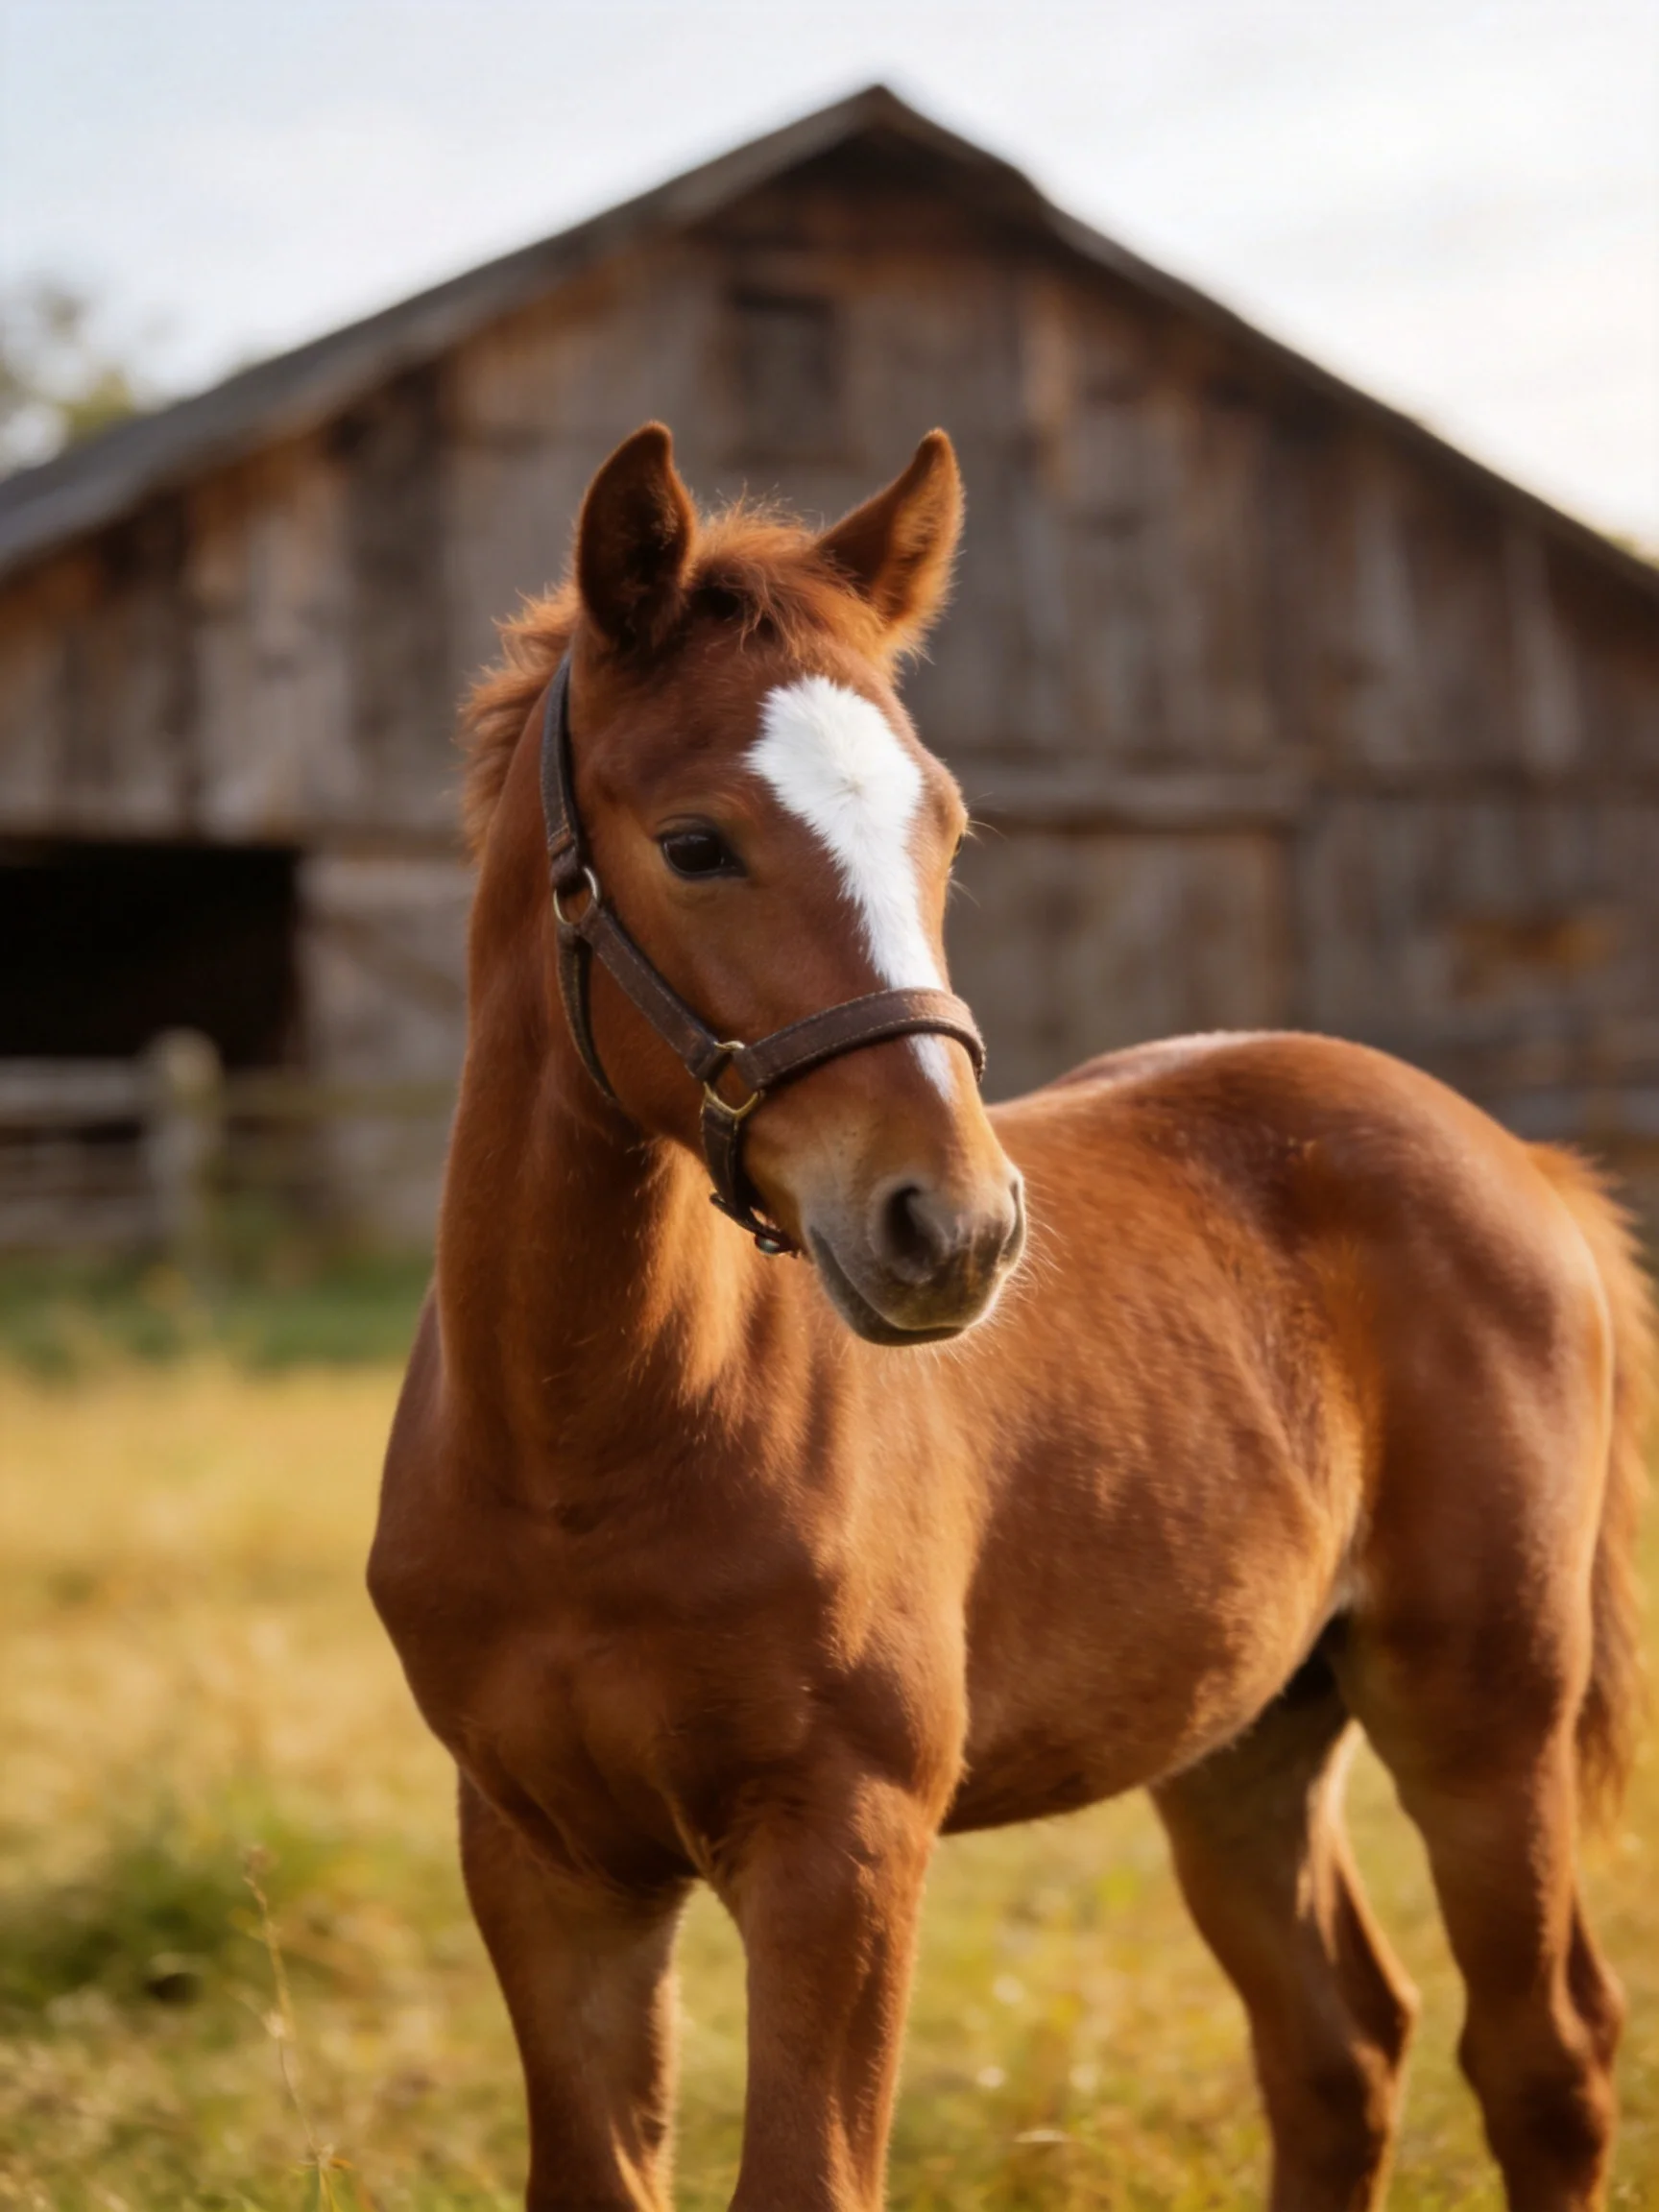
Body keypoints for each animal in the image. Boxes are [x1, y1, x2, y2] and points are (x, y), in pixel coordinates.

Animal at [370, 422, 1650, 2212]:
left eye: (946, 829)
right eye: (693, 841)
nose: (954, 1227)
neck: (583, 1455)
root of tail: (1516, 1158)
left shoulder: (842, 1842)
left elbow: (809, 2179)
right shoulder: (542, 1858)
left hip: (1482, 1707)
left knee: (1544, 2054)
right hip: (1248, 1733)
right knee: (1341, 2050)